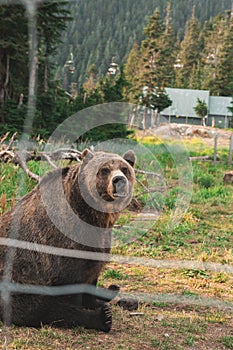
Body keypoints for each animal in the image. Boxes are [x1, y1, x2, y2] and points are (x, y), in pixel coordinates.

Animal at [0, 149, 136, 332]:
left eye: (125, 168)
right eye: (104, 170)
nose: (119, 180)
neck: (93, 217)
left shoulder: (98, 240)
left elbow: (93, 272)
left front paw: (95, 299)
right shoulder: (63, 245)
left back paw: (110, 292)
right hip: (19, 285)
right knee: (43, 309)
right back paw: (102, 318)